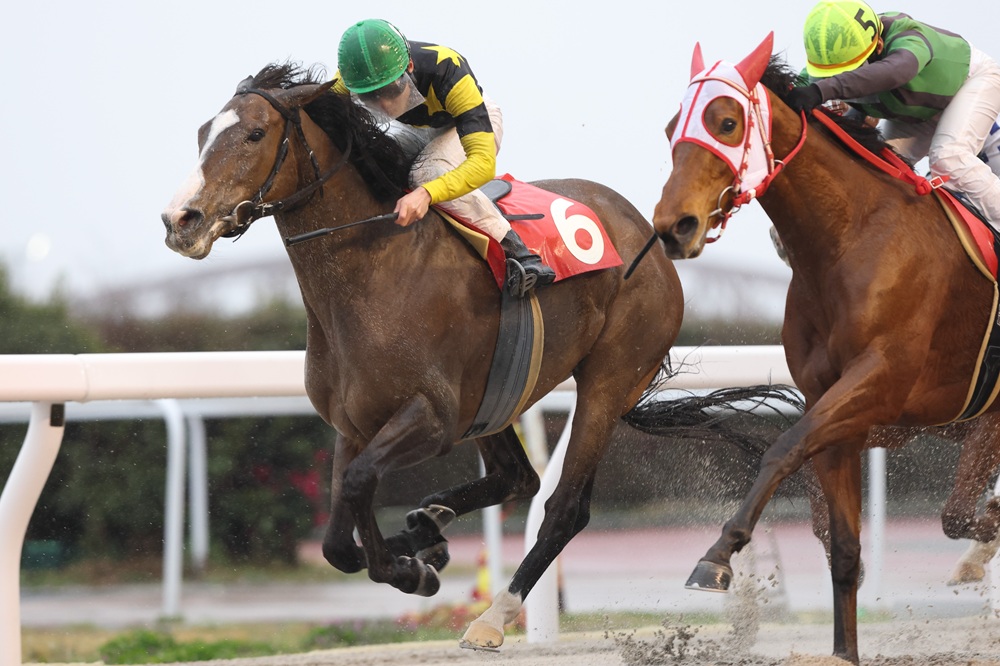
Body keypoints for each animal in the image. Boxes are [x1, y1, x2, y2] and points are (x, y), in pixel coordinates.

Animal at [160, 62, 792, 650]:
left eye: (255, 134)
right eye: (202, 133)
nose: (180, 221)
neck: (375, 267)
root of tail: (650, 236)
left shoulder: (433, 418)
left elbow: (361, 484)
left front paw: (410, 570)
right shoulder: (355, 422)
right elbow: (339, 536)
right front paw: (415, 551)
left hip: (608, 379)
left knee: (564, 507)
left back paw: (491, 615)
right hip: (497, 396)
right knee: (519, 478)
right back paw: (429, 523)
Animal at [650, 34, 1000, 664]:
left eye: (726, 121)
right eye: (671, 129)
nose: (673, 225)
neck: (849, 240)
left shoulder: (876, 379)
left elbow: (782, 447)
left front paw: (715, 558)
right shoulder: (839, 409)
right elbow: (843, 547)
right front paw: (845, 649)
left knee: (961, 513)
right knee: (959, 514)